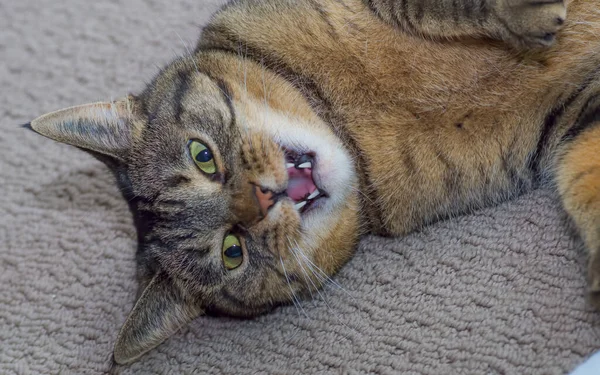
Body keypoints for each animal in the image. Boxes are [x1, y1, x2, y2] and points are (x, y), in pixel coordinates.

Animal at [24, 0, 600, 368]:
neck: (351, 123)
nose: (265, 198)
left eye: (202, 157)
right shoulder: (573, 121)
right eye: (232, 251)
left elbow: (430, 7)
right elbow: (584, 179)